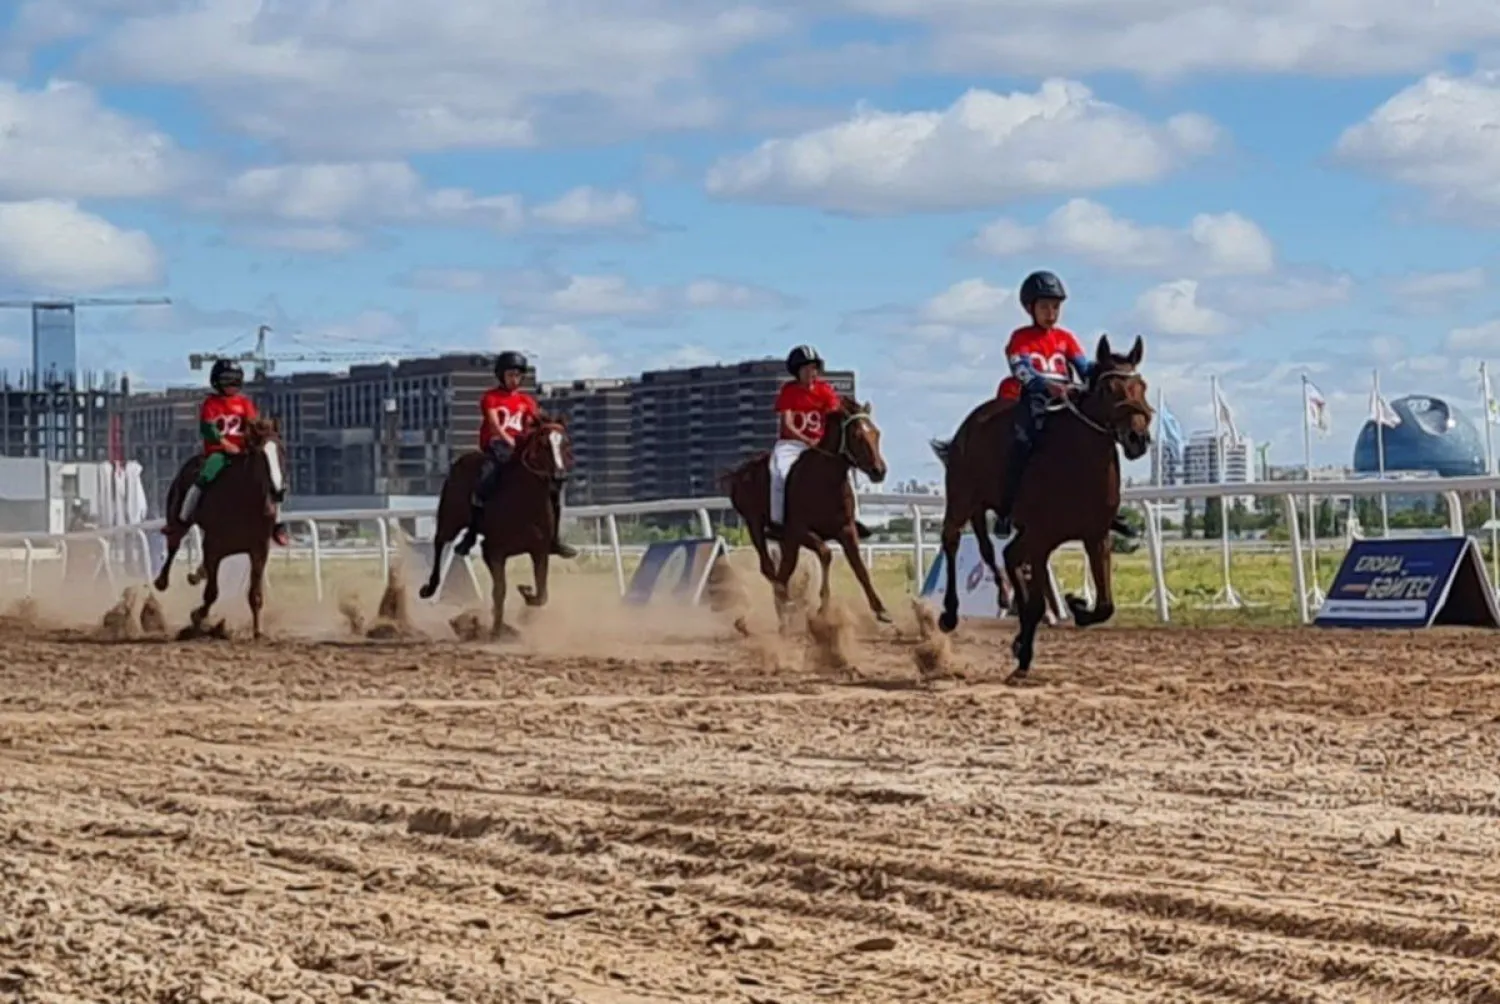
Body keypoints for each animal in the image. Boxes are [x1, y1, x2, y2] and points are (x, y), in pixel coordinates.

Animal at [153, 414, 288, 633]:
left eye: (281, 450)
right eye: (261, 455)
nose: (278, 491)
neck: (245, 503)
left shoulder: (259, 549)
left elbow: (255, 594)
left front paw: (258, 631)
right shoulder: (214, 547)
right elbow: (212, 592)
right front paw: (197, 616)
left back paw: (197, 574)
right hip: (176, 514)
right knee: (174, 542)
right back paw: (162, 580)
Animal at [423, 417, 573, 639]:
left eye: (565, 443)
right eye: (544, 444)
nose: (559, 476)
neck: (523, 503)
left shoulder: (539, 550)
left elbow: (541, 594)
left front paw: (526, 596)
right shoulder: (493, 552)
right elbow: (499, 591)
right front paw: (497, 630)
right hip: (449, 519)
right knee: (439, 541)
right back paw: (429, 587)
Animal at [723, 393, 888, 621]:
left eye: (876, 433)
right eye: (857, 435)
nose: (879, 471)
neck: (825, 480)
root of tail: (739, 473)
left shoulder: (846, 530)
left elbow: (860, 568)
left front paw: (880, 609)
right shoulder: (799, 530)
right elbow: (826, 554)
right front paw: (823, 607)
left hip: (786, 541)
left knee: (783, 572)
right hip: (755, 524)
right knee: (770, 569)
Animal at [930, 336, 1152, 681]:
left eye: (1141, 386)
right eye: (1108, 388)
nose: (1137, 438)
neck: (1076, 463)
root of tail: (970, 423)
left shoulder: (1095, 536)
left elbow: (1105, 606)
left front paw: (1076, 606)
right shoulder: (1042, 537)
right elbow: (1035, 603)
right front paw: (1024, 657)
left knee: (1005, 555)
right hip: (962, 501)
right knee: (953, 542)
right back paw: (951, 613)